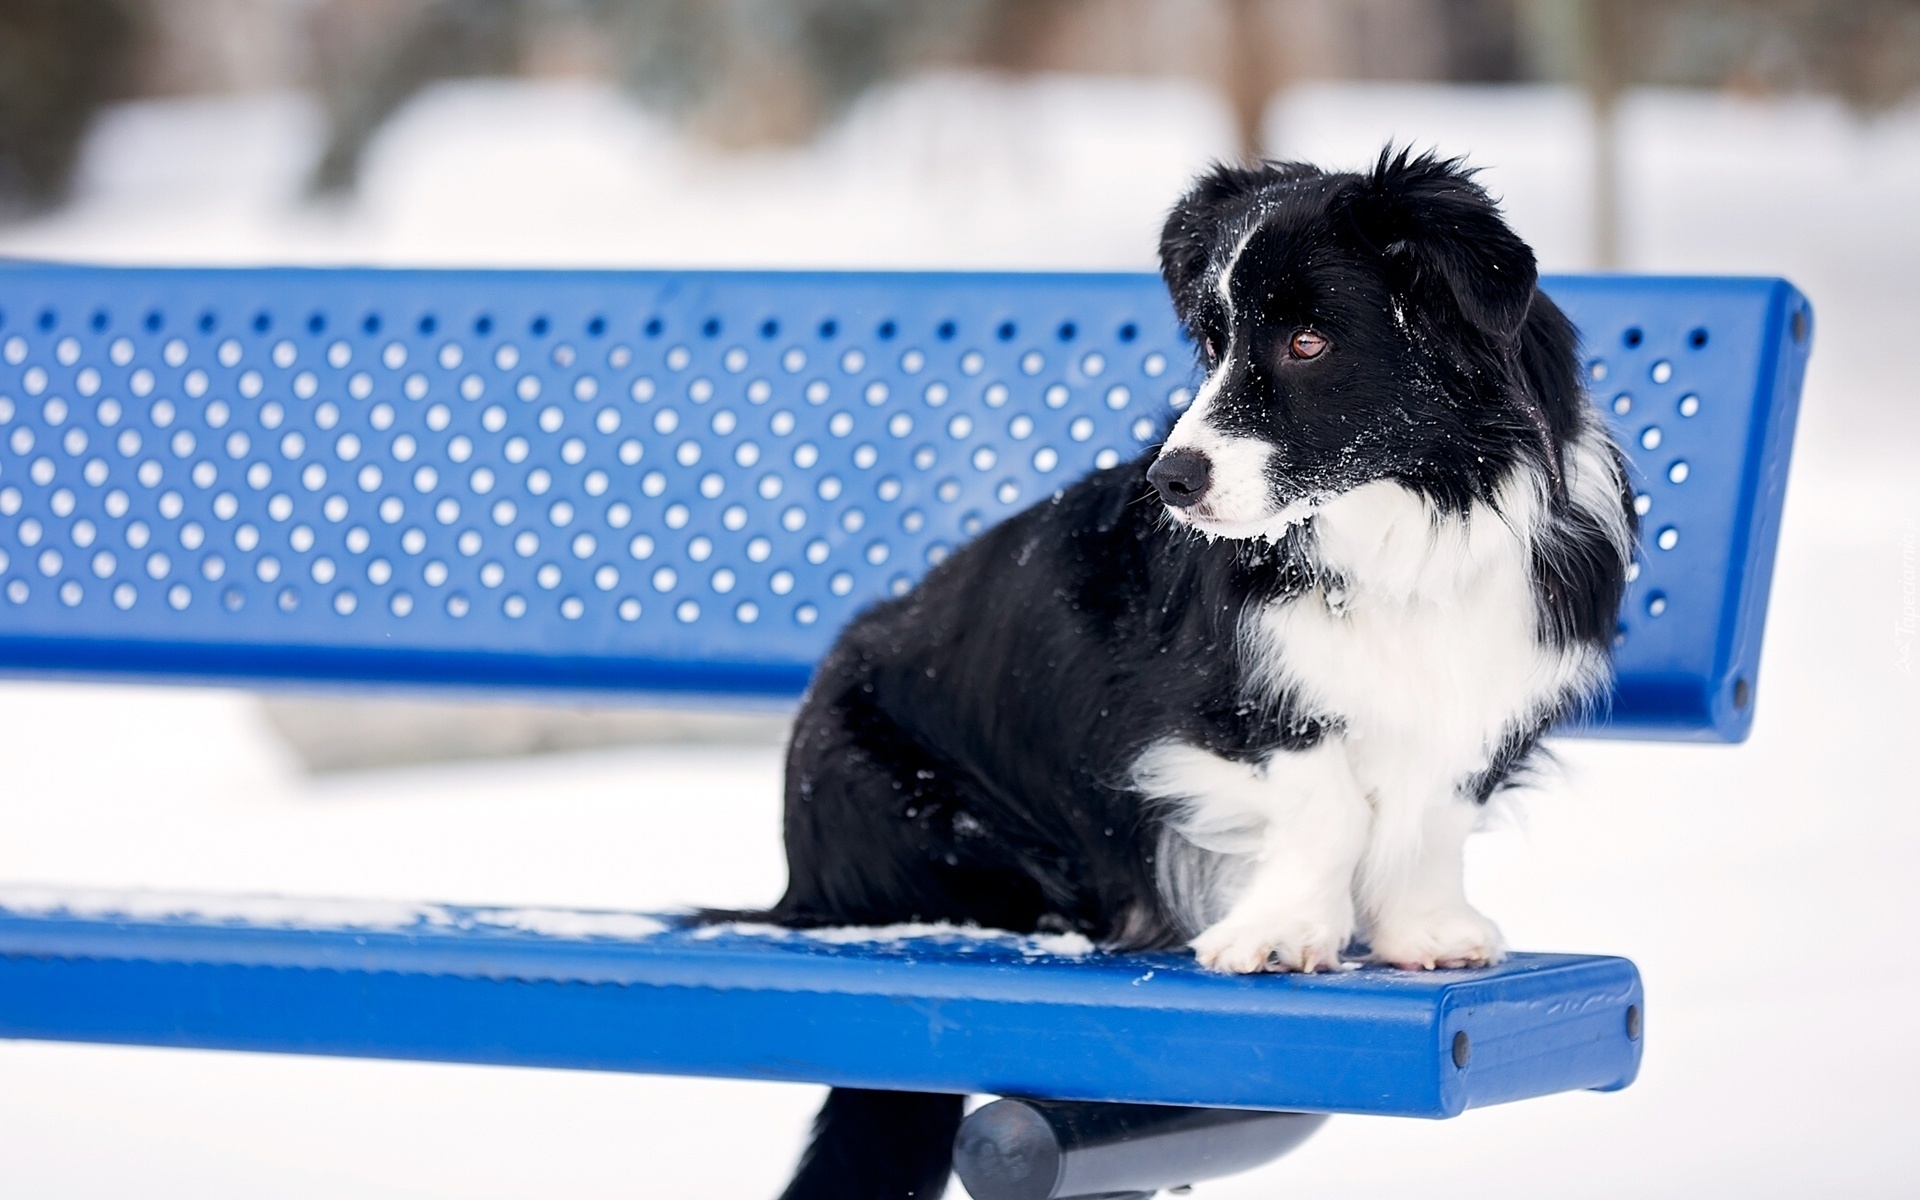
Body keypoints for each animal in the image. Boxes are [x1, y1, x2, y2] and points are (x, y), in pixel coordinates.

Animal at [748, 151, 1635, 1198]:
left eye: (1306, 341)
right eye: (1212, 343)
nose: (1170, 482)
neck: (1403, 524)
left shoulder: (1492, 699)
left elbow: (1434, 814)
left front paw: (1424, 931)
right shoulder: (1205, 709)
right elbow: (1331, 803)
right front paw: (1284, 932)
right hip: (891, 790)